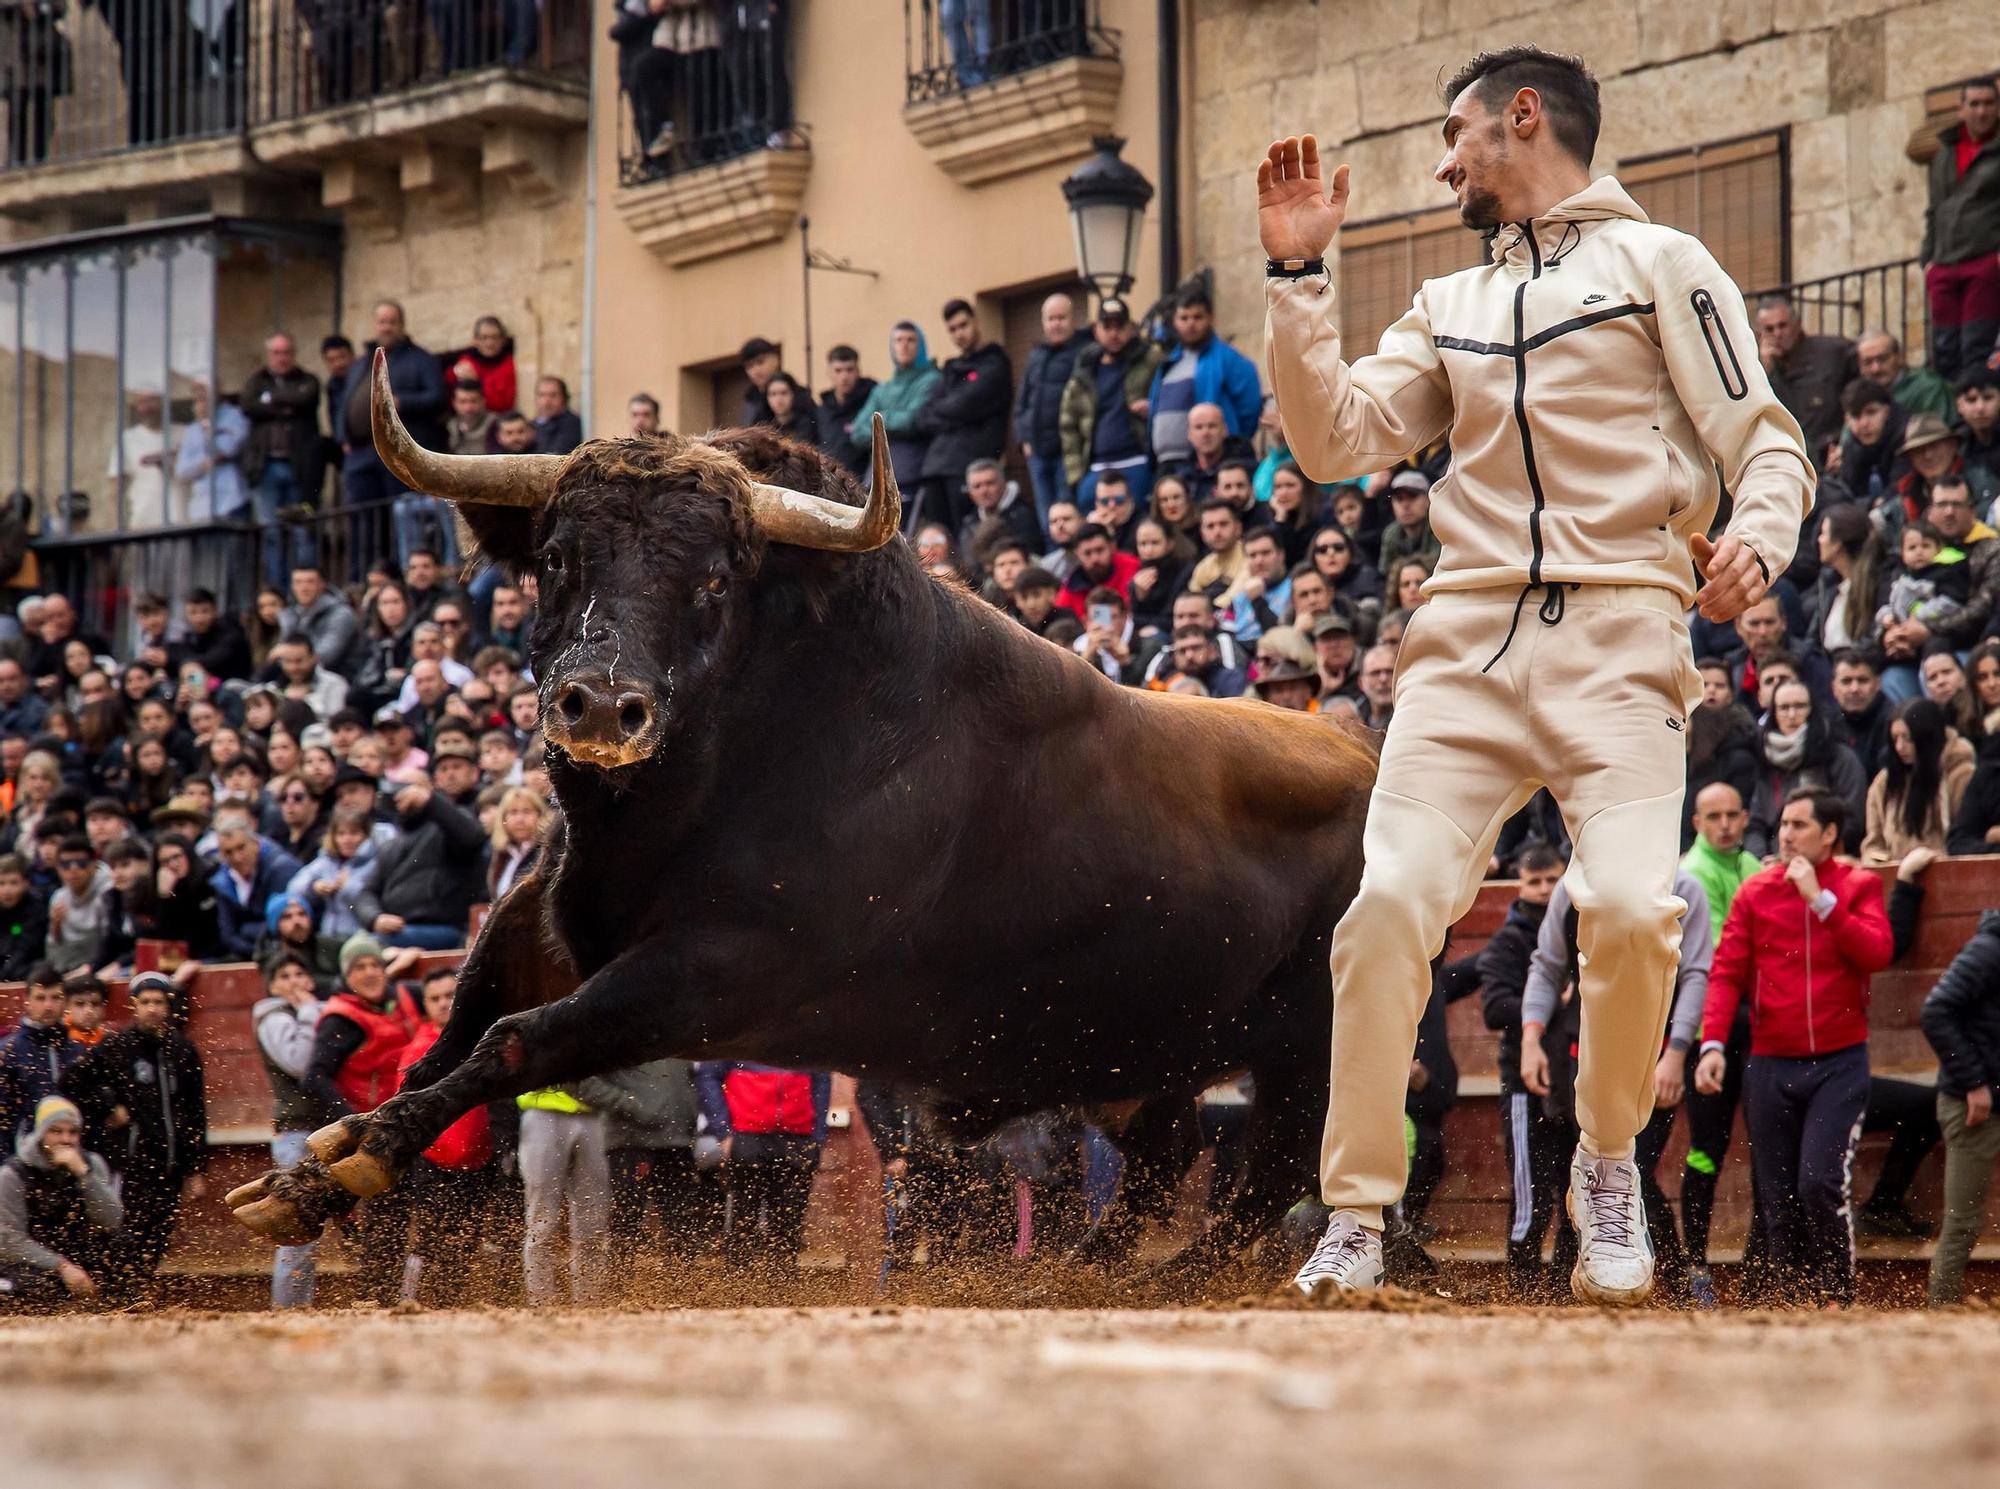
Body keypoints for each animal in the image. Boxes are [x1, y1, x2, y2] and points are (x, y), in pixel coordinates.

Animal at [223, 352, 1376, 1280]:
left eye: (714, 582)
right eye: (555, 557)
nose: (599, 704)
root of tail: (1368, 747)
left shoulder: (713, 971)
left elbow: (514, 1043)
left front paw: (349, 1161)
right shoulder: (535, 931)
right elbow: (449, 1040)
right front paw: (310, 1173)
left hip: (1304, 1049)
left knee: (1264, 1182)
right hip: (1149, 1052)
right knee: (1168, 1163)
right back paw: (1084, 1272)